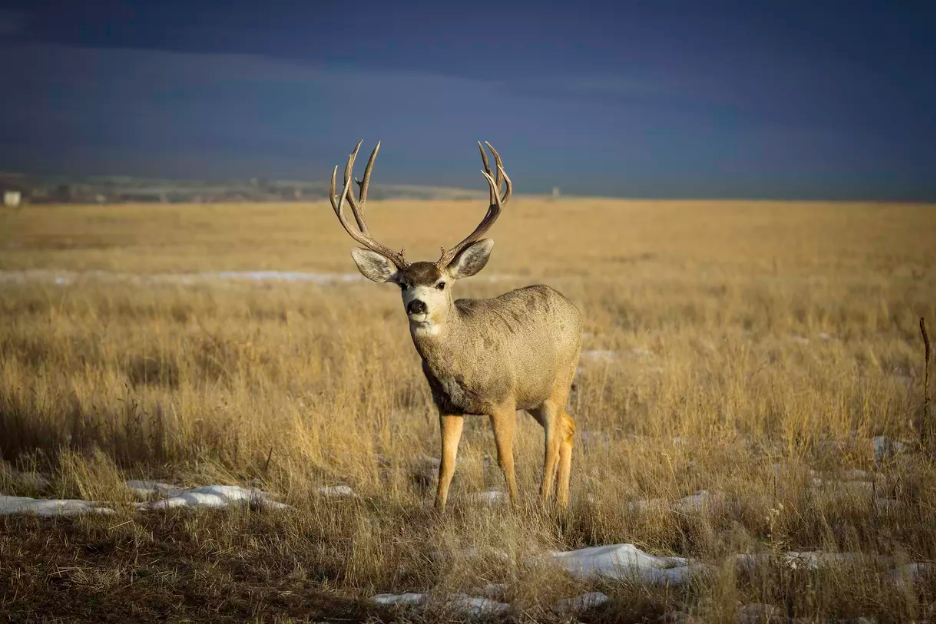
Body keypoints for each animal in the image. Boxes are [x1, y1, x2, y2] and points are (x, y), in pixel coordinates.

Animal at [326, 139, 580, 510]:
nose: (417, 305)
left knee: (551, 440)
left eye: (441, 283)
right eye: (402, 284)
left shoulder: (502, 398)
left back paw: (544, 498)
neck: (461, 359)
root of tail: (570, 306)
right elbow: (446, 462)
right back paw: (561, 500)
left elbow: (506, 459)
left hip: (558, 381)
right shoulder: (445, 405)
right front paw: (437, 510)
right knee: (567, 427)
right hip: (535, 395)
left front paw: (516, 507)